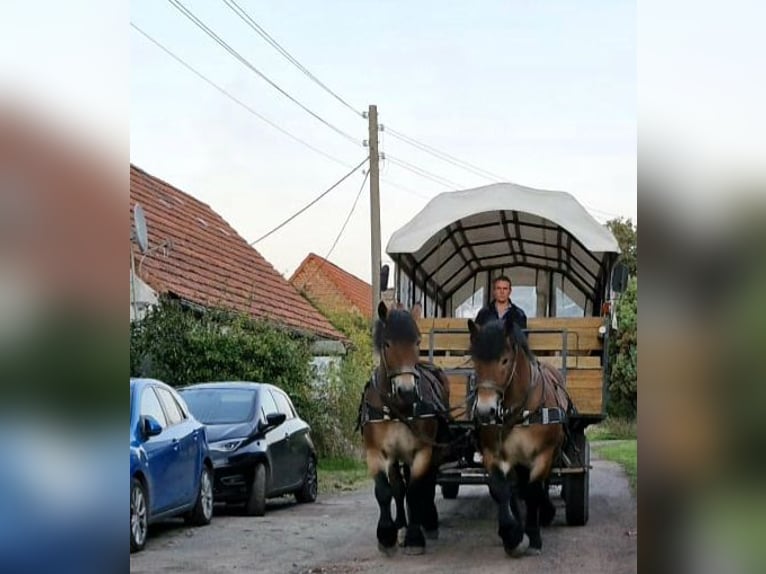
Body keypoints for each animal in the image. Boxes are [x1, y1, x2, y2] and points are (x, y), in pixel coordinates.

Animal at [360, 304, 450, 556]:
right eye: (387, 343)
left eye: (417, 342)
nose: (407, 391)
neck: (398, 408)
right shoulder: (376, 452)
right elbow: (386, 491)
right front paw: (387, 534)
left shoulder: (422, 451)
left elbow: (415, 490)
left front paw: (414, 536)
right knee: (399, 487)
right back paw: (402, 523)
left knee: (425, 484)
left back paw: (428, 521)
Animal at [468, 320, 568, 560]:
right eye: (475, 360)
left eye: (504, 360)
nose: (485, 411)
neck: (518, 412)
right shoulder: (494, 453)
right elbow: (500, 489)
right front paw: (512, 535)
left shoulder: (543, 454)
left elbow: (533, 491)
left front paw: (533, 537)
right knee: (515, 488)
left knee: (538, 486)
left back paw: (546, 512)